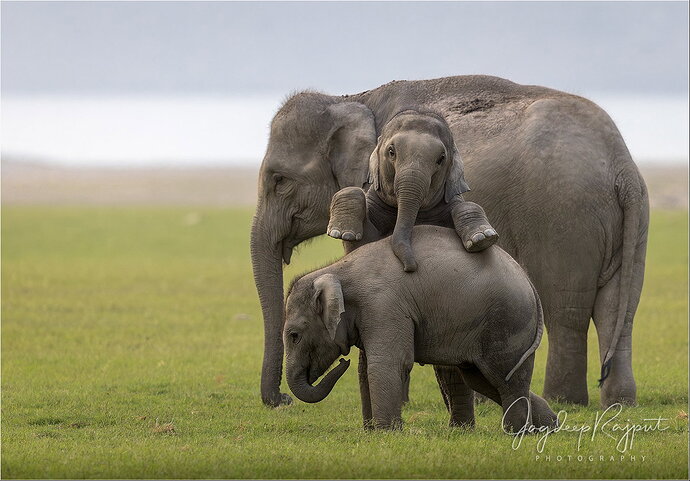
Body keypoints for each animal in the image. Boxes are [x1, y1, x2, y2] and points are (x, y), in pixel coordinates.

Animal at [283, 225, 559, 431]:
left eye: (295, 336)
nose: (343, 361)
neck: (338, 269)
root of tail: (528, 281)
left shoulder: (384, 306)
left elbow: (390, 363)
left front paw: (386, 433)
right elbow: (370, 366)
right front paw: (374, 431)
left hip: (507, 320)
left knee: (505, 377)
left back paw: (516, 432)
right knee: (484, 378)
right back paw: (547, 426)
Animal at [326, 108, 498, 273]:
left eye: (441, 159)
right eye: (391, 152)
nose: (411, 267)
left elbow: (465, 205)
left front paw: (482, 238)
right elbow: (360, 245)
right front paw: (342, 232)